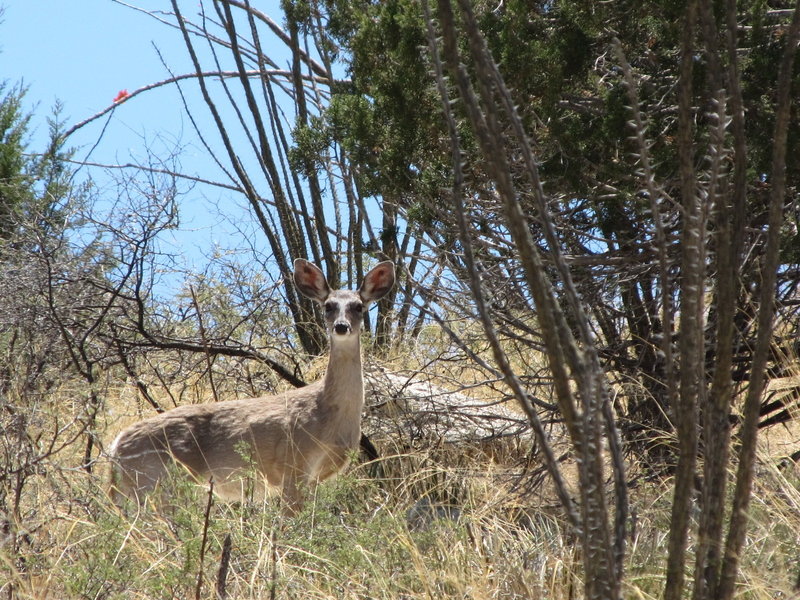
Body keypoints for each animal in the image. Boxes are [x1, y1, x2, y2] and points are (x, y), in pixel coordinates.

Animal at [108, 256, 396, 510]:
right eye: (328, 306)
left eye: (358, 306)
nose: (341, 326)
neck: (327, 414)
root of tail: (114, 449)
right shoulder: (292, 465)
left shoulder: (313, 478)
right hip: (155, 484)